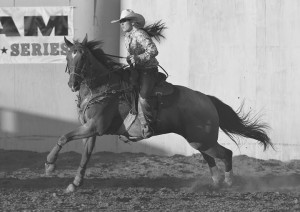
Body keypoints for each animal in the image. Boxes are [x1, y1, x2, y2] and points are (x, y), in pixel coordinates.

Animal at [44, 35, 272, 194]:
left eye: (83, 57)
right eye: (68, 56)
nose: (73, 84)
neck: (103, 88)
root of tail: (206, 99)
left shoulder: (94, 127)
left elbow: (63, 137)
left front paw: (49, 165)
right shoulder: (91, 131)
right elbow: (85, 156)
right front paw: (74, 184)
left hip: (203, 139)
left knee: (226, 153)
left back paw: (229, 182)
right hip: (199, 140)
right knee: (211, 157)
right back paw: (216, 183)